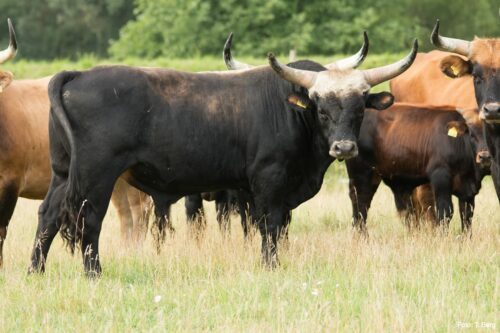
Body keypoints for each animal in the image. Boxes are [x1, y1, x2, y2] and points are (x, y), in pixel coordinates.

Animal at [28, 58, 406, 276]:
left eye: (359, 107)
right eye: (321, 107)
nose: (344, 147)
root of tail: (78, 75)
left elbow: (280, 226)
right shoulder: (269, 180)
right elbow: (270, 225)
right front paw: (271, 266)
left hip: (63, 173)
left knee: (48, 215)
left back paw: (36, 271)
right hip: (96, 175)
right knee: (88, 220)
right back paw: (94, 273)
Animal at [348, 102, 488, 232]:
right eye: (471, 134)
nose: (485, 156)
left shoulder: (468, 192)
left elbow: (467, 217)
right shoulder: (440, 178)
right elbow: (445, 213)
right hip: (361, 175)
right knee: (360, 207)